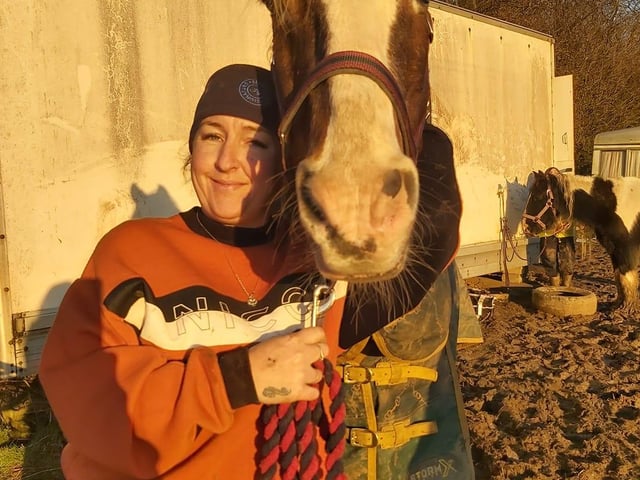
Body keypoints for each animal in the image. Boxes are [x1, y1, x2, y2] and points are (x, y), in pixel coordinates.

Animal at [522, 167, 640, 311]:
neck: (611, 204)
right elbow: (618, 276)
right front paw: (617, 304)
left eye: (536, 197)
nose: (526, 227)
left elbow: (626, 276)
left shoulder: (625, 249)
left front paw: (628, 307)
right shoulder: (614, 249)